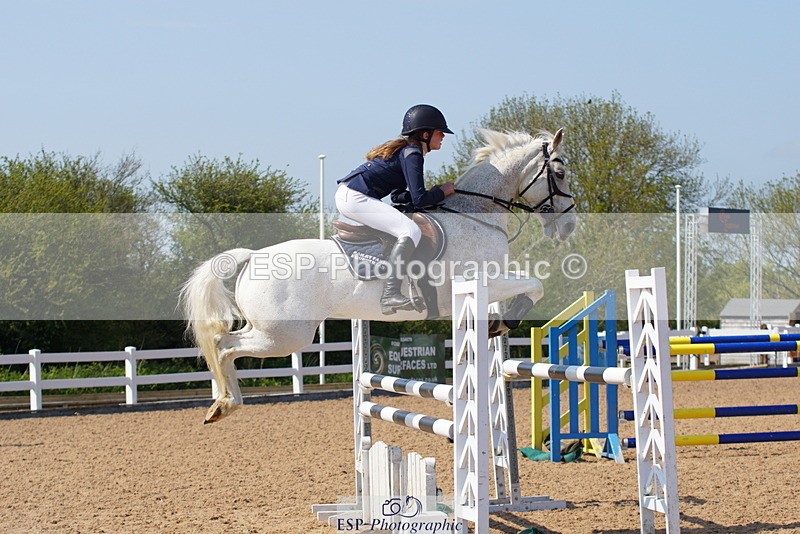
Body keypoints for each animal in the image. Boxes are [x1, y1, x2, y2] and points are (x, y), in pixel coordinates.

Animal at [181, 127, 577, 423]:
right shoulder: (481, 283)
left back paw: (221, 404)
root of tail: (252, 257)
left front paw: (498, 324)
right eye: (559, 173)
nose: (568, 227)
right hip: (284, 335)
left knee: (224, 345)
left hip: (271, 330)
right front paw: (505, 321)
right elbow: (534, 285)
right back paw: (225, 404)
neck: (474, 213)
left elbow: (527, 286)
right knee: (224, 345)